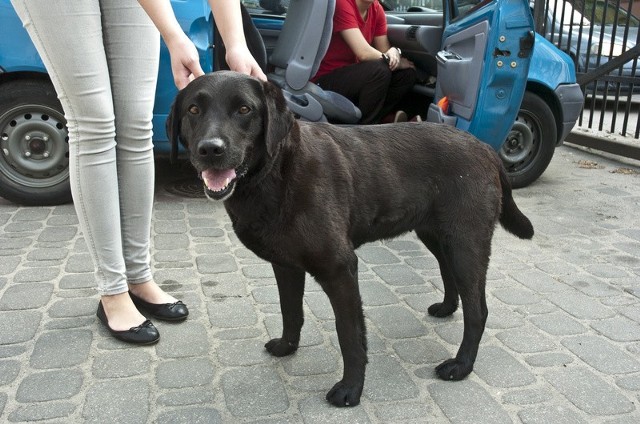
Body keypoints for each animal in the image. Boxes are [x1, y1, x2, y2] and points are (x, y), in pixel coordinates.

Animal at [166, 71, 536, 406]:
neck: (278, 172)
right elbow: (290, 311)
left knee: (478, 311)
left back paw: (461, 365)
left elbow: (350, 335)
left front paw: (350, 390)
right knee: (449, 273)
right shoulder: (286, 266)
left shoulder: (340, 269)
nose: (210, 150)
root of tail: (485, 148)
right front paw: (287, 347)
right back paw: (446, 308)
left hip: (465, 243)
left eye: (244, 109)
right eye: (194, 110)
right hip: (437, 234)